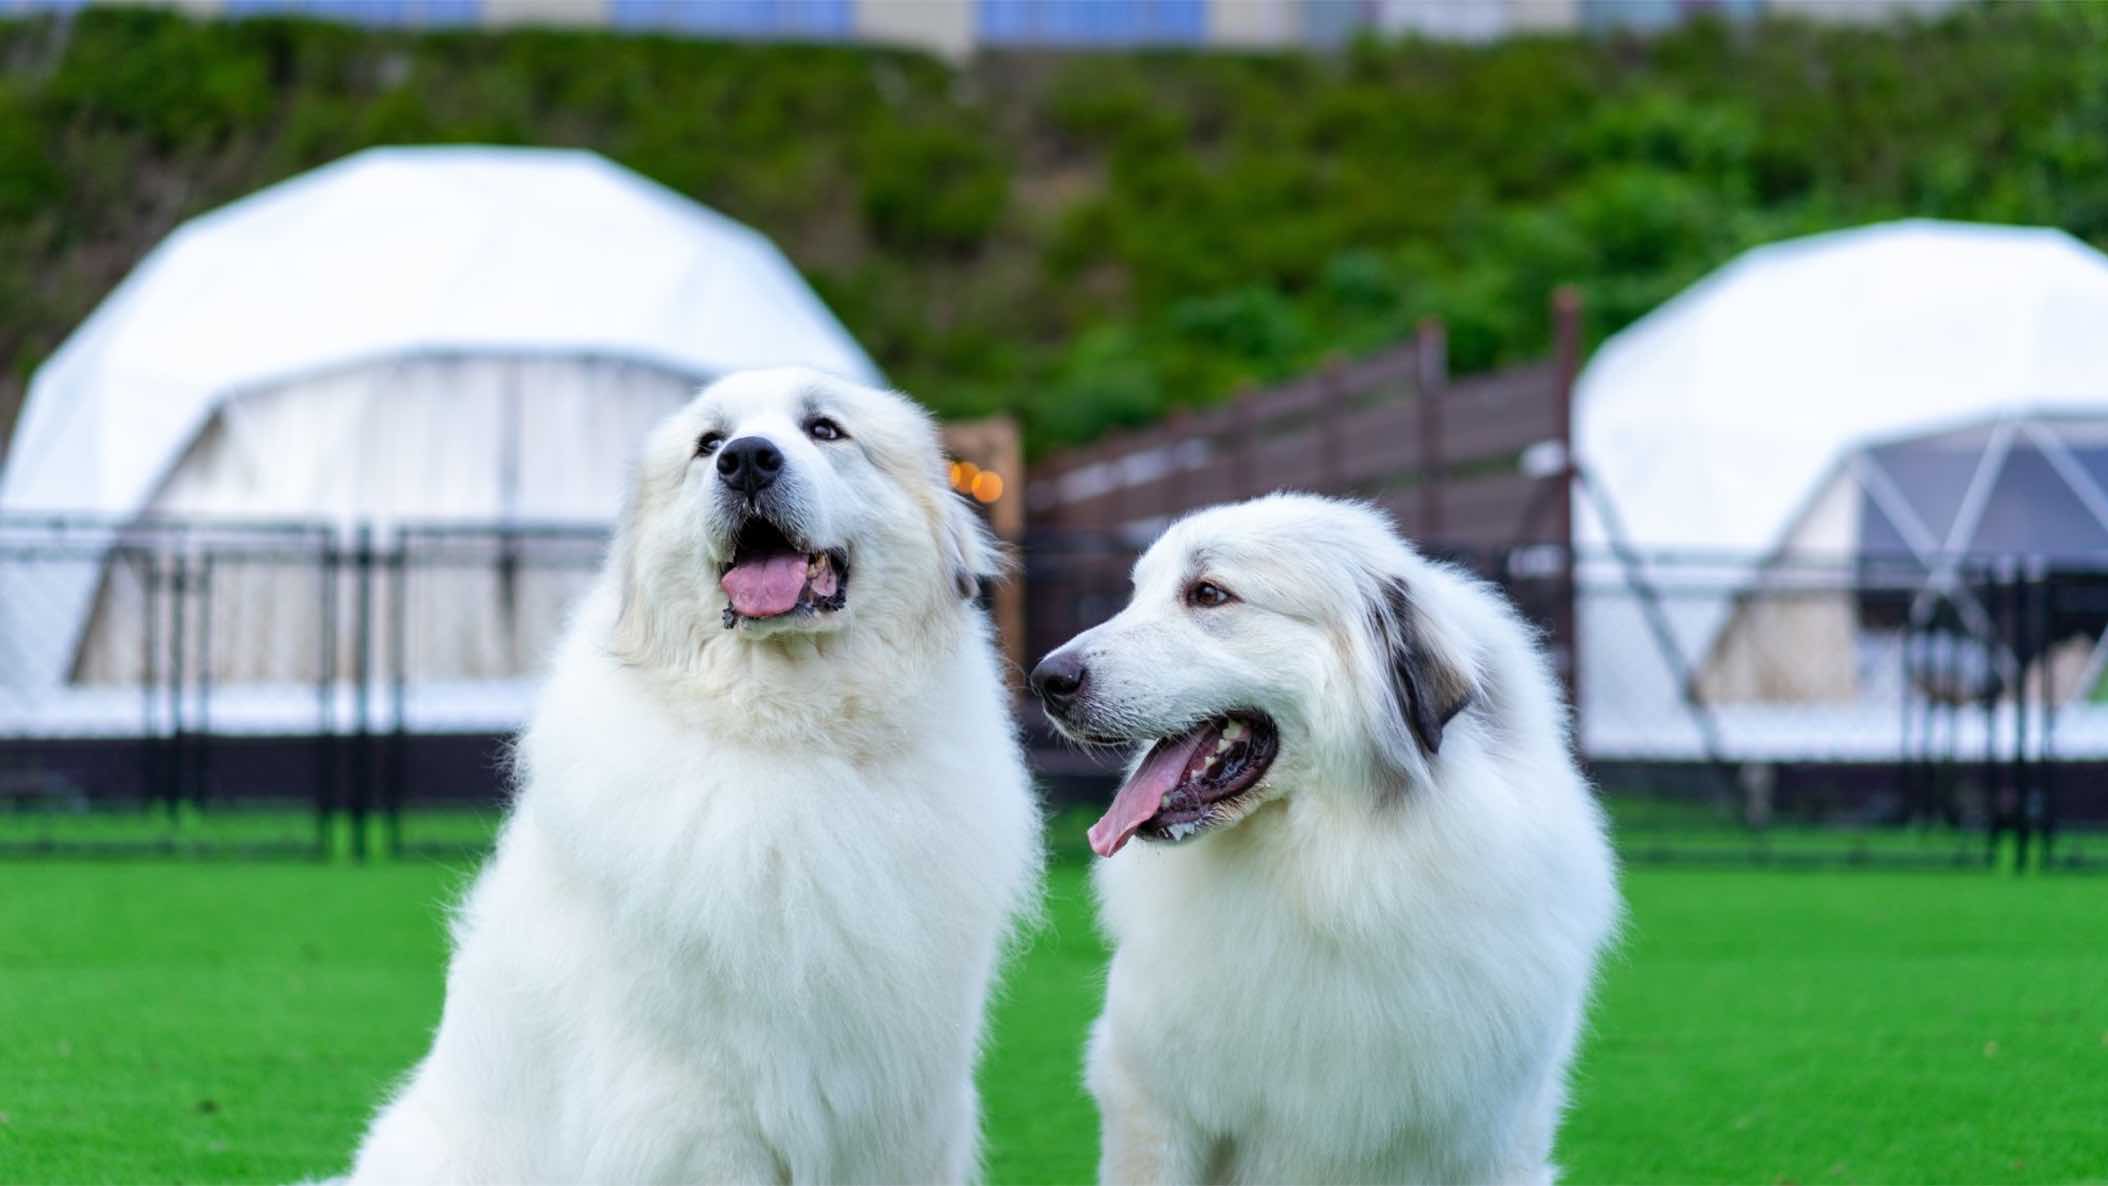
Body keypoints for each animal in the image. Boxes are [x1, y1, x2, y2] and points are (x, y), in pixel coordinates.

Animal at [345, 370, 1045, 1186]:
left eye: (825, 429)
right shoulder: (693, 1119)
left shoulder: (897, 1112)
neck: (789, 734)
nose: (747, 460)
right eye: (709, 444)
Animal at [1032, 495, 1610, 1186]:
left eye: (1208, 594)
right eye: (1137, 594)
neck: (1328, 873)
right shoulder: (1154, 1106)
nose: (1045, 679)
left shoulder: (1495, 1133)